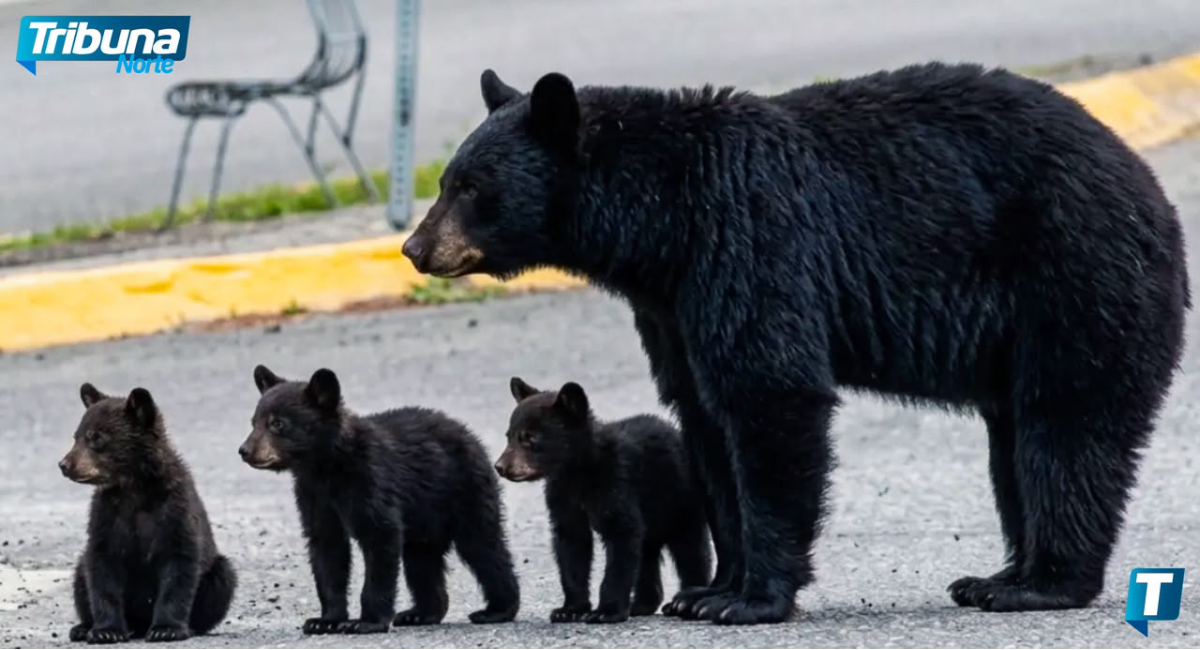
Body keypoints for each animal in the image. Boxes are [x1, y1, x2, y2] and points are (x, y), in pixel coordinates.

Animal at [59, 383, 236, 644]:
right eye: (76, 437)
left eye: (97, 438)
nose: (64, 465)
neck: (133, 488)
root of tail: (138, 625)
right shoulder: (106, 515)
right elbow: (102, 569)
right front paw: (106, 630)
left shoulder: (175, 509)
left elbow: (179, 565)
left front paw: (167, 628)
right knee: (82, 575)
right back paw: (82, 627)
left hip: (215, 574)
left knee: (222, 579)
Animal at [239, 365, 520, 634]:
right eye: (254, 422)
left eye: (278, 423)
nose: (244, 451)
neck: (327, 467)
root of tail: (468, 433)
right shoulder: (313, 496)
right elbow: (326, 549)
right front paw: (325, 621)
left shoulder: (371, 481)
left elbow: (379, 537)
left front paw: (365, 623)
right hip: (425, 517)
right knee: (422, 558)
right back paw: (421, 613)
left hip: (466, 490)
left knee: (483, 545)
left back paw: (498, 609)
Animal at [494, 377, 712, 623]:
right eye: (509, 436)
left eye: (530, 438)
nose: (499, 467)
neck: (578, 471)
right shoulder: (562, 497)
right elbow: (572, 547)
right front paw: (569, 609)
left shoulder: (615, 483)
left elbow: (621, 538)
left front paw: (606, 611)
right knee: (646, 554)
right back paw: (642, 604)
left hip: (682, 501)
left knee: (691, 549)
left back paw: (682, 601)